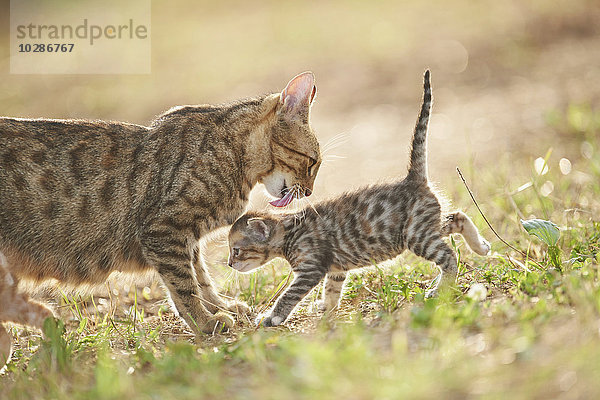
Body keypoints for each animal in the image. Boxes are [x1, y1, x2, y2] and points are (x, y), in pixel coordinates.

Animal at [0, 71, 324, 334]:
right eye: (312, 163)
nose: (309, 192)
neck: (234, 154)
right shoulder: (164, 230)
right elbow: (184, 286)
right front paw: (204, 322)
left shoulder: (186, 237)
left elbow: (201, 278)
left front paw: (220, 306)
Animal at [227, 71, 490, 328]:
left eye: (236, 250)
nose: (229, 264)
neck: (289, 229)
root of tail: (412, 179)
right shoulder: (335, 268)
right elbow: (332, 289)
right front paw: (326, 307)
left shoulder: (311, 269)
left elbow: (288, 296)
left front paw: (271, 317)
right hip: (424, 227)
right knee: (457, 217)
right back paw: (481, 247)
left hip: (417, 236)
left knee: (449, 256)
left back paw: (441, 288)